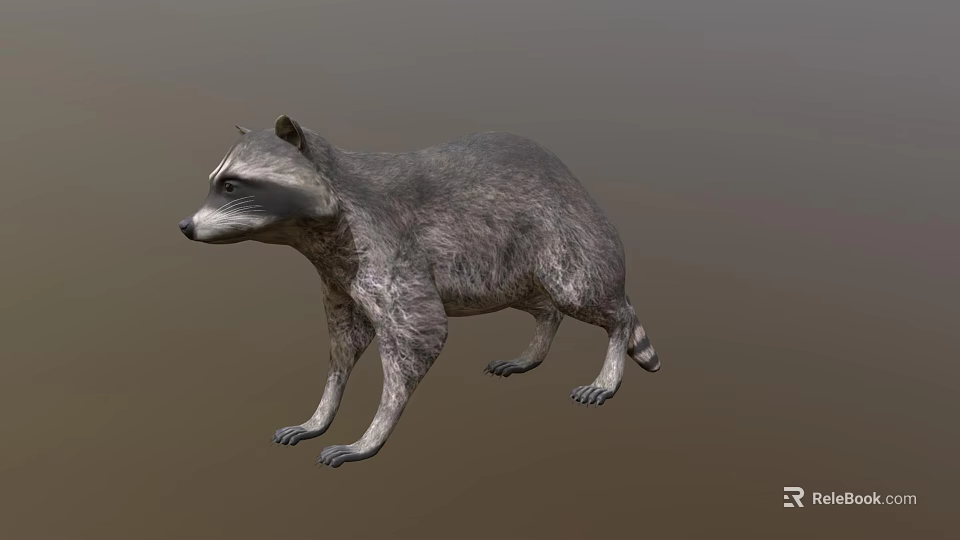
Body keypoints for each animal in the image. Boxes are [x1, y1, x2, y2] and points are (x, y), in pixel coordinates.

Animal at [179, 115, 660, 468]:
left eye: (231, 185)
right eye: (215, 182)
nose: (185, 226)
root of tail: (573, 182)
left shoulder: (384, 247)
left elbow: (419, 334)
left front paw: (371, 434)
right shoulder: (339, 275)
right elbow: (343, 346)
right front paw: (322, 413)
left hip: (561, 235)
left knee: (586, 295)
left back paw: (612, 355)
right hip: (505, 266)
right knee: (545, 305)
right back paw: (536, 343)